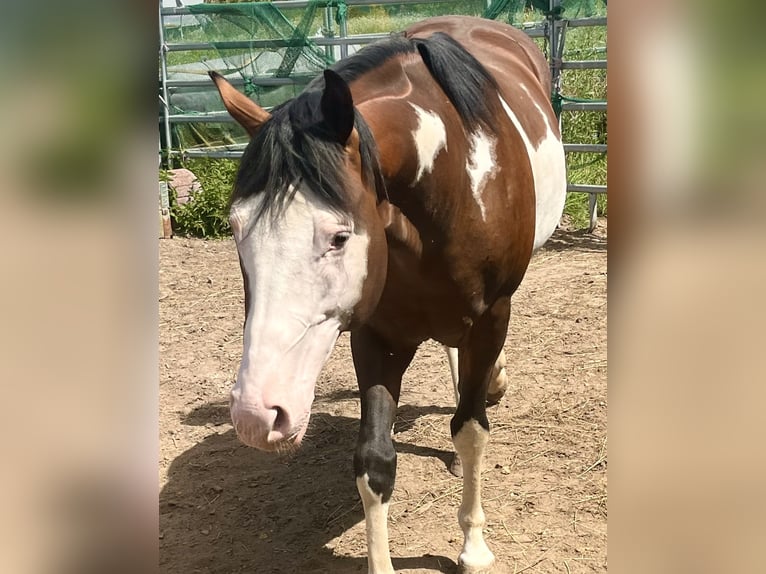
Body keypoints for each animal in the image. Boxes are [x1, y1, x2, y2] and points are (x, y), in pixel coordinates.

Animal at [209, 15, 566, 574]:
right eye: (236, 228)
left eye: (338, 237)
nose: (254, 415)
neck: (453, 182)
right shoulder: (378, 335)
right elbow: (375, 461)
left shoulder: (491, 317)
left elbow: (471, 429)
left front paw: (474, 546)